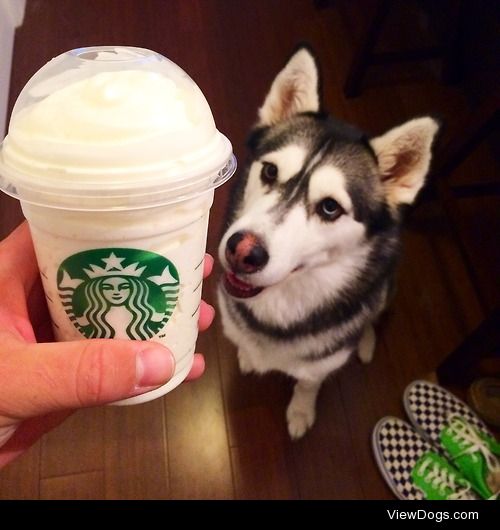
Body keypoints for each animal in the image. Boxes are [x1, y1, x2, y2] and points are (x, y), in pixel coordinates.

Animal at [217, 46, 440, 438]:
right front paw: (246, 354)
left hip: (386, 287)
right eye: (270, 171)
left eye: (330, 207)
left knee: (372, 315)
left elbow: (308, 383)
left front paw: (300, 411)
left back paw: (365, 341)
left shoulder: (319, 366)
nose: (242, 251)